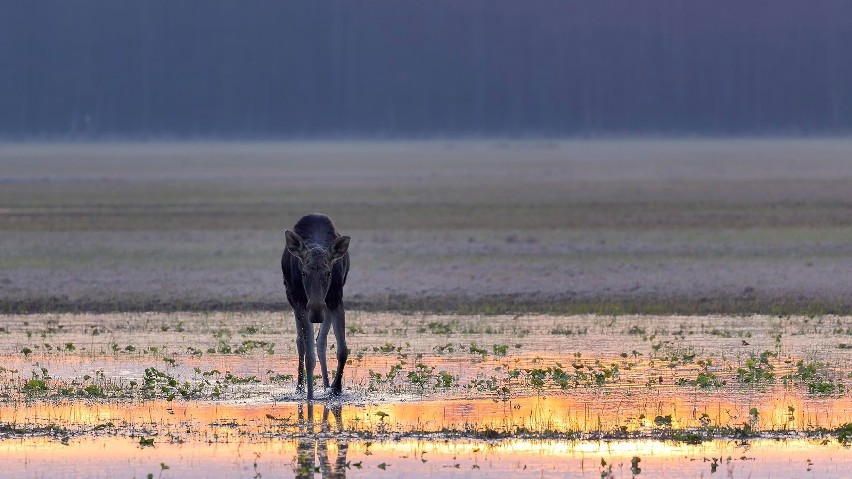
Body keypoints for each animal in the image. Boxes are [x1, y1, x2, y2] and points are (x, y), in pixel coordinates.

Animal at [282, 215, 352, 402]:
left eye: (328, 272)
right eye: (304, 273)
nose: (316, 312)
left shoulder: (336, 300)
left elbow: (342, 350)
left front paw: (336, 388)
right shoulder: (301, 303)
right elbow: (309, 356)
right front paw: (310, 397)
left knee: (321, 341)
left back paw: (326, 385)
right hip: (293, 300)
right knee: (300, 342)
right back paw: (299, 388)